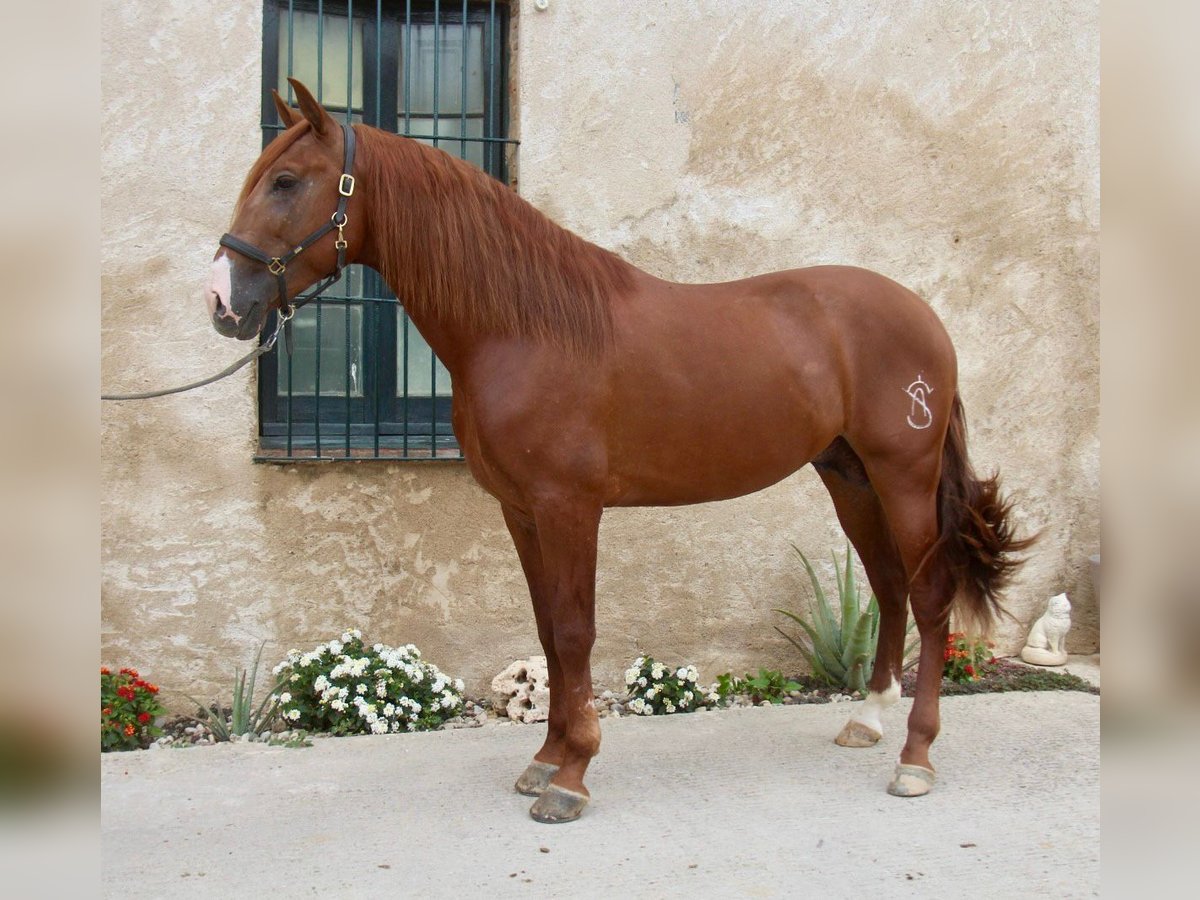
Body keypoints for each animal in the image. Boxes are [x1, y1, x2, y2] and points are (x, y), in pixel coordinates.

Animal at [208, 82, 1032, 825]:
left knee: (929, 597)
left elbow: (575, 633)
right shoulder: (521, 510)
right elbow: (548, 633)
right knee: (890, 588)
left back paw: (915, 758)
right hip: (849, 477)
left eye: (286, 181)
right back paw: (867, 719)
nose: (224, 300)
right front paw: (544, 761)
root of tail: (924, 315)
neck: (523, 326)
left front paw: (572, 776)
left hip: (904, 476)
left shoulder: (569, 507)